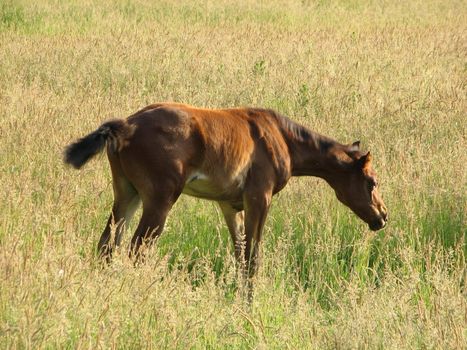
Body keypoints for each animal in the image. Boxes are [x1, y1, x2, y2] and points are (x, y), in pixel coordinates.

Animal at [64, 102, 390, 278]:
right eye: (371, 182)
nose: (382, 217)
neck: (281, 137)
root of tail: (125, 125)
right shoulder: (259, 198)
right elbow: (253, 257)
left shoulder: (230, 206)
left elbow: (239, 254)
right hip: (159, 200)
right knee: (136, 249)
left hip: (126, 195)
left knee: (107, 246)